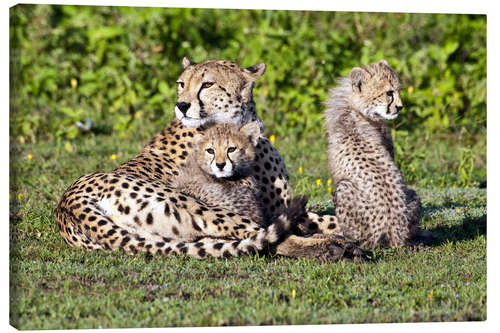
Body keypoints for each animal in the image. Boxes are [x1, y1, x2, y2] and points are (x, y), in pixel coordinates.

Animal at [56, 57, 362, 260]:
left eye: (207, 84)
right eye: (181, 84)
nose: (181, 105)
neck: (240, 123)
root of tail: (68, 205)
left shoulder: (278, 206)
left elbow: (330, 217)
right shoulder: (266, 207)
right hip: (198, 206)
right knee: (265, 238)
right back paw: (335, 247)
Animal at [322, 59, 432, 246]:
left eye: (398, 90)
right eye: (389, 93)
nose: (400, 107)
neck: (354, 108)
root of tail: (395, 234)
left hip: (343, 189)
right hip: (411, 194)